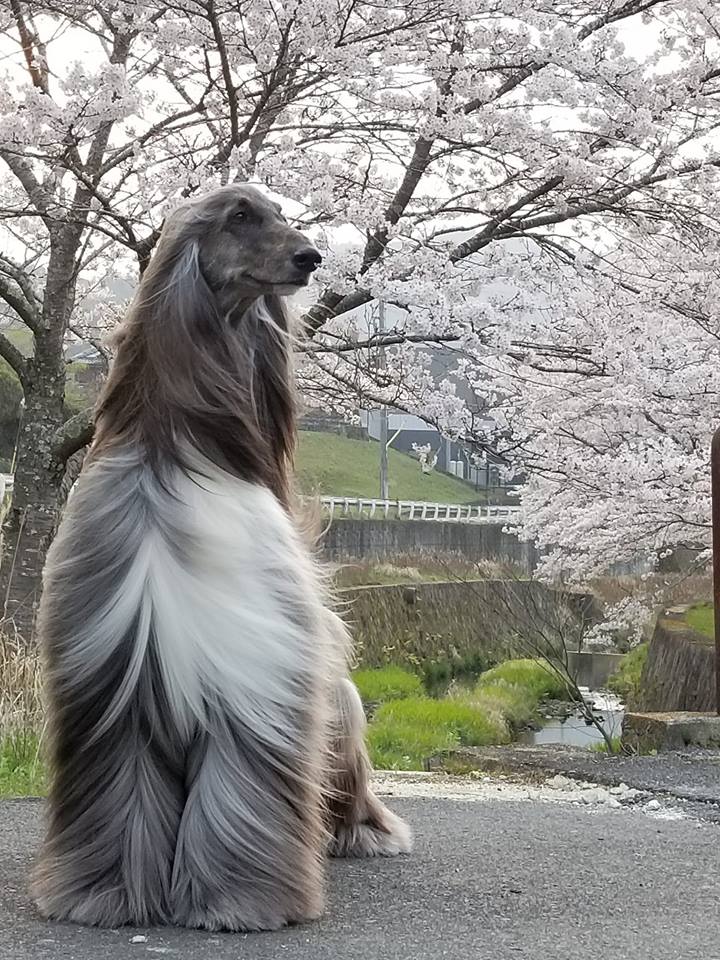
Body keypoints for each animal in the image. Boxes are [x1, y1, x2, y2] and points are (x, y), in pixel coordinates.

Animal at [31, 186, 410, 928]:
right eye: (241, 217)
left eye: (281, 211)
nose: (310, 257)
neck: (176, 451)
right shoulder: (122, 686)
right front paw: (109, 896)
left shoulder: (256, 676)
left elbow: (237, 793)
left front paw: (233, 901)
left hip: (336, 695)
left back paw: (364, 831)